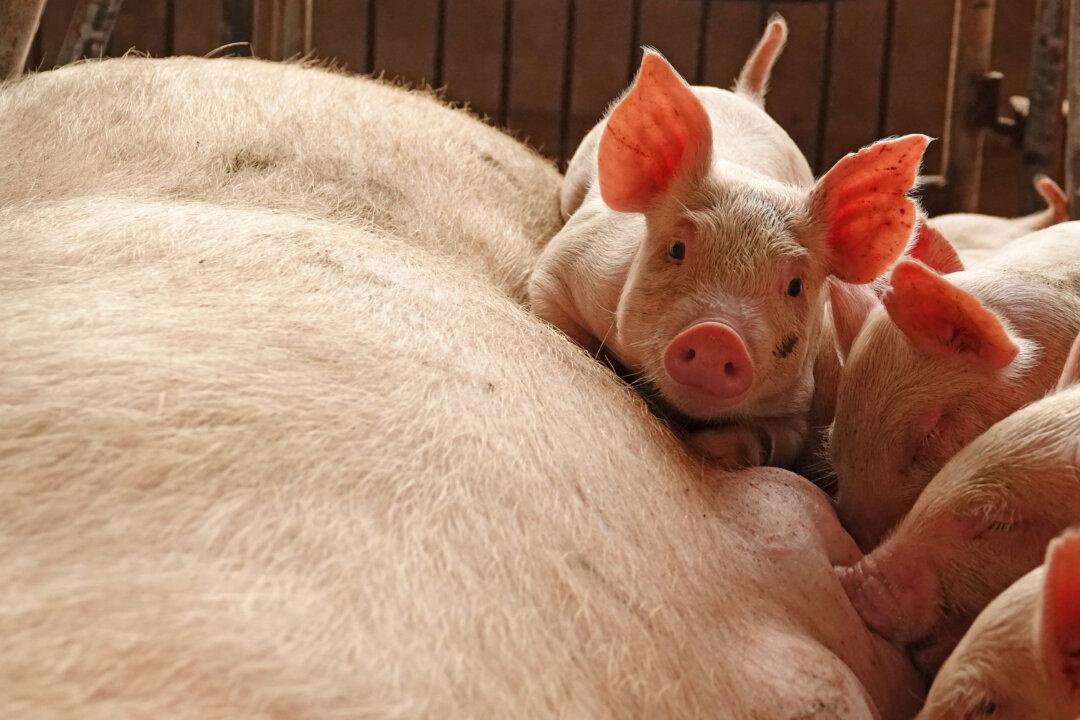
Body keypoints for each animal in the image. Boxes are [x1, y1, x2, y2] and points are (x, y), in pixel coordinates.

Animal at [530, 16, 930, 468]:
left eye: (796, 286)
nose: (716, 335)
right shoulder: (564, 267)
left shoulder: (796, 404)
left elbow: (775, 439)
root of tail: (746, 96)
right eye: (677, 249)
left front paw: (715, 449)